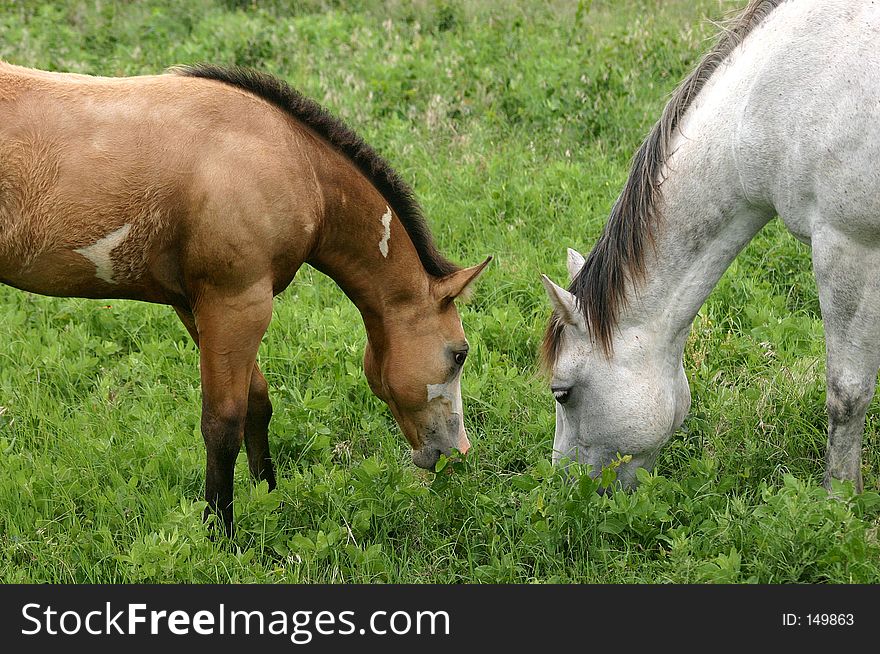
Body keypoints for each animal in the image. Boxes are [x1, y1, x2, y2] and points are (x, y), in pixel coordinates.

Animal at [0, 60, 488, 532]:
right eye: (459, 354)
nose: (459, 449)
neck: (292, 159)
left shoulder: (196, 308)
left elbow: (257, 402)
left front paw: (267, 497)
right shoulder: (237, 304)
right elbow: (223, 423)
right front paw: (221, 532)